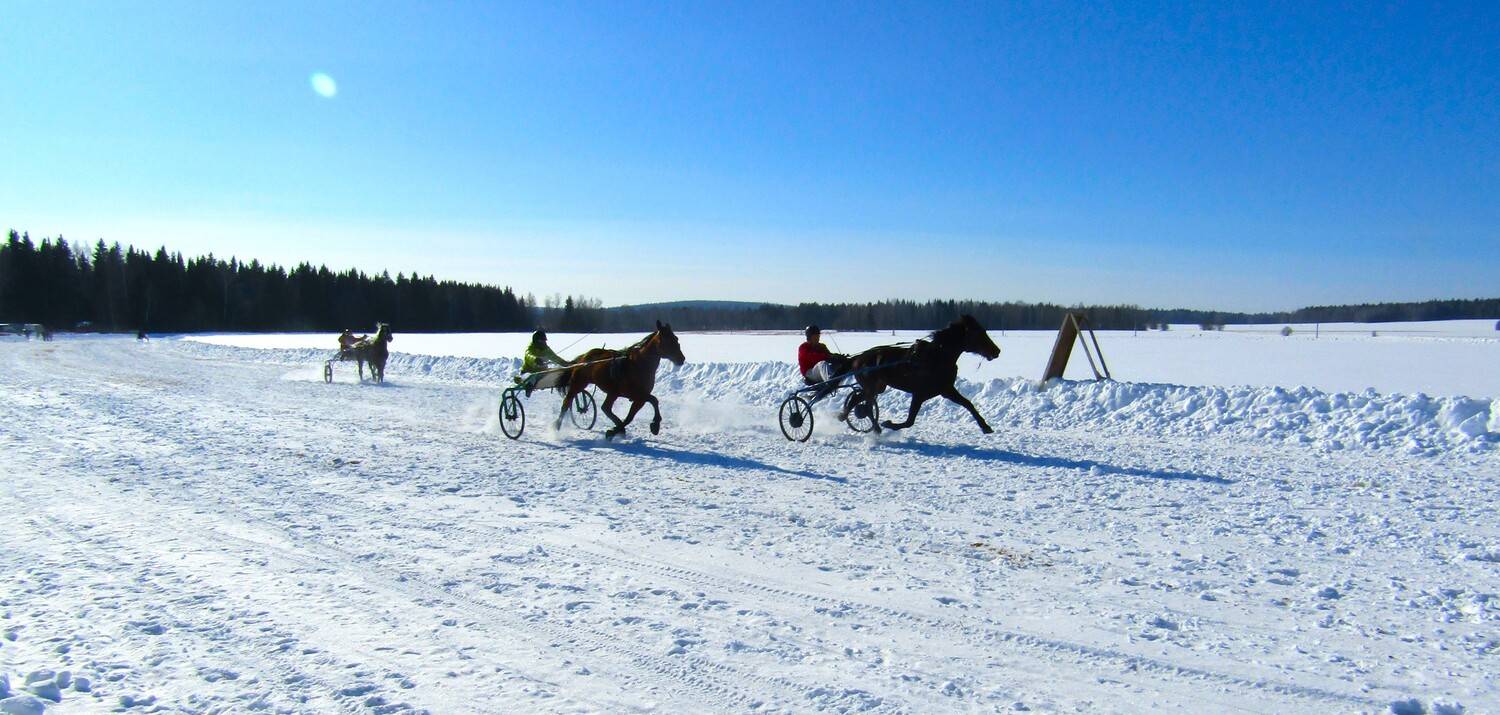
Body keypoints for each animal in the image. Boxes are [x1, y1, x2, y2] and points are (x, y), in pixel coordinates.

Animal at [557, 321, 686, 440]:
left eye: (676, 338)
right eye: (666, 340)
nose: (681, 359)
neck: (639, 365)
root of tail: (584, 357)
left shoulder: (640, 398)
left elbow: (634, 414)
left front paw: (616, 430)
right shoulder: (637, 395)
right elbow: (652, 401)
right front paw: (655, 424)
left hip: (612, 392)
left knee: (605, 408)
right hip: (579, 384)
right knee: (566, 403)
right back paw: (556, 426)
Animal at [848, 315, 1001, 433]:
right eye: (978, 333)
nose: (996, 351)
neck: (937, 358)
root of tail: (857, 359)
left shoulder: (946, 390)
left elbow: (968, 404)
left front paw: (985, 427)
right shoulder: (919, 393)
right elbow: (909, 421)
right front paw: (889, 424)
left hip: (878, 387)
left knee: (860, 403)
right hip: (871, 387)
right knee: (864, 405)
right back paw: (870, 425)